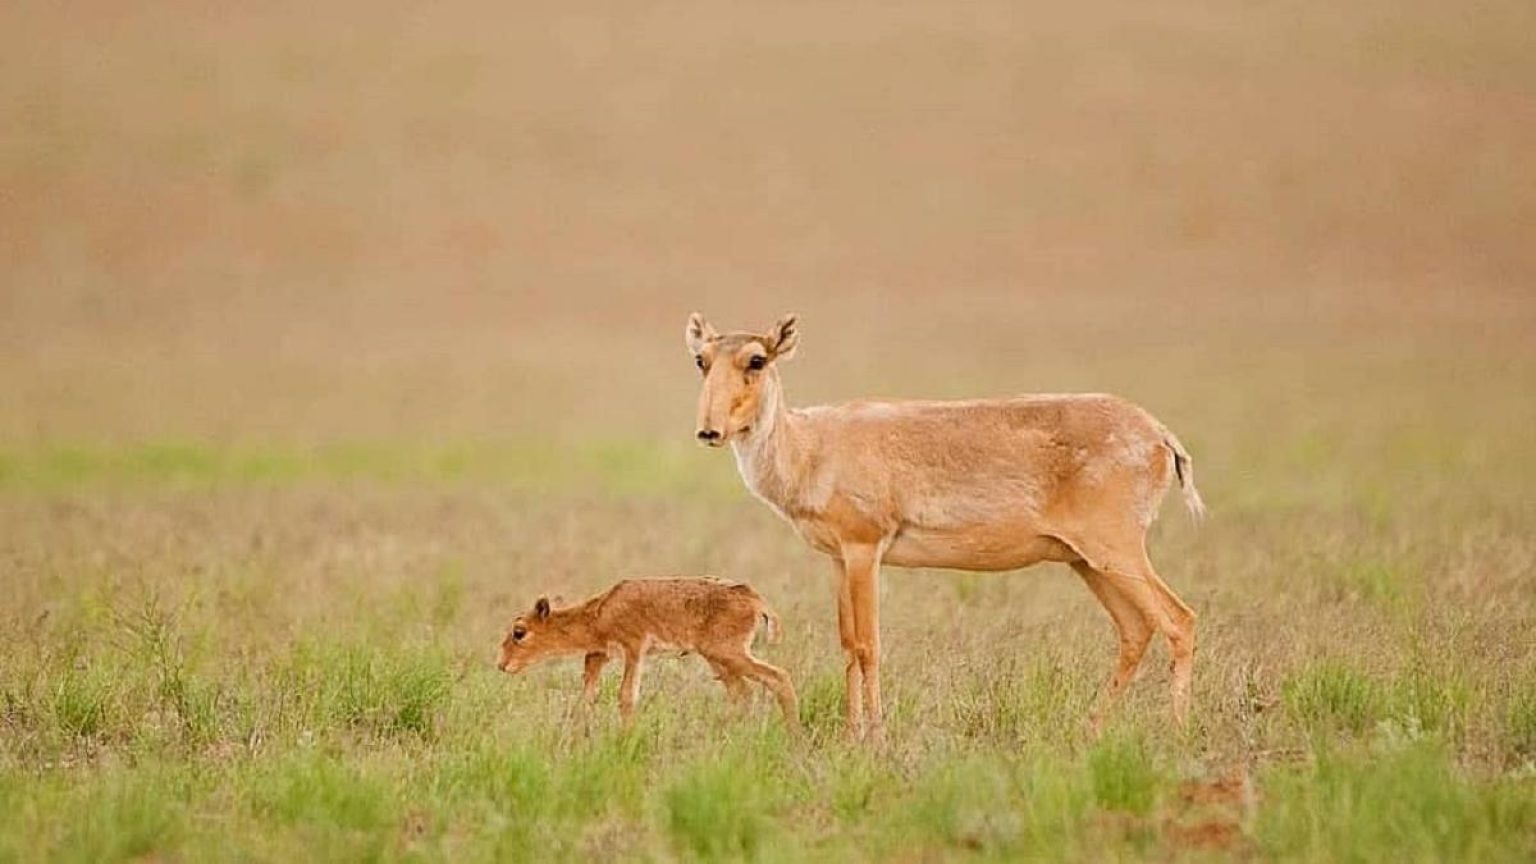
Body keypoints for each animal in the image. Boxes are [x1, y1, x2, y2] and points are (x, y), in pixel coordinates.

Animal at [691, 312, 1204, 737]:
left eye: (757, 359)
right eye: (701, 360)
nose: (709, 430)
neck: (812, 445)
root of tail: (1160, 434)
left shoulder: (865, 550)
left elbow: (869, 645)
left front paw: (874, 738)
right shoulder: (839, 559)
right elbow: (848, 644)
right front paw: (851, 734)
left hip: (1116, 551)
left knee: (1179, 620)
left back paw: (1176, 733)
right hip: (1086, 562)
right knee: (1136, 630)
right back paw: (1091, 728)